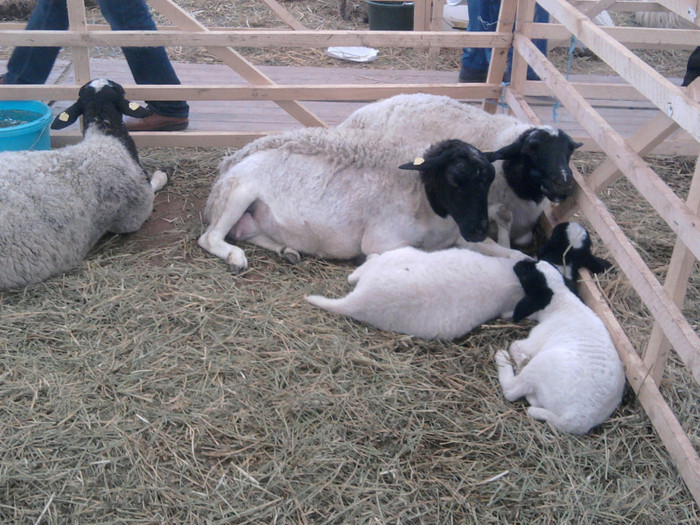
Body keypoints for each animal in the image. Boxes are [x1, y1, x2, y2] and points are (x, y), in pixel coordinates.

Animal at [198, 133, 504, 272]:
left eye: (490, 180)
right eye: (454, 180)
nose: (479, 229)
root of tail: (228, 166)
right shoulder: (381, 243)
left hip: (252, 215)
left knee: (245, 232)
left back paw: (288, 250)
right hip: (238, 192)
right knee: (210, 237)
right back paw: (235, 258)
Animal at [494, 258, 628, 434]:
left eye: (526, 274)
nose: (518, 262)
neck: (563, 302)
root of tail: (575, 418)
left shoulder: (535, 339)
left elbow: (515, 345)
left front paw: (520, 360)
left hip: (542, 363)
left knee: (511, 390)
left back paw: (502, 358)